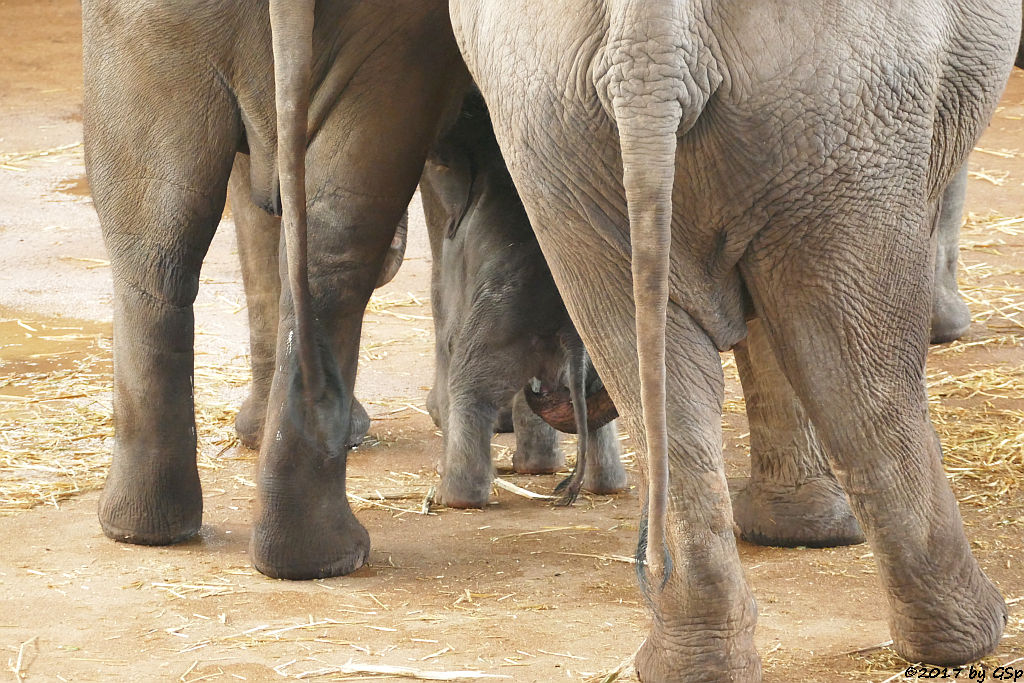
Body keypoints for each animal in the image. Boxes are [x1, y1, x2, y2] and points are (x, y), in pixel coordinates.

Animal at [419, 89, 626, 507]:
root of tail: (572, 331)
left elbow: (448, 330)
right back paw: (603, 486)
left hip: (501, 322)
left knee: (470, 386)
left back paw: (454, 498)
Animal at [450, 0, 1024, 675]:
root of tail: (646, 44)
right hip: (844, 108)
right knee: (861, 375)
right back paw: (969, 638)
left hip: (549, 124)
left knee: (653, 365)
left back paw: (689, 662)